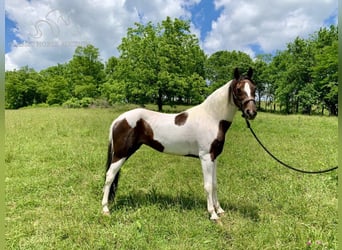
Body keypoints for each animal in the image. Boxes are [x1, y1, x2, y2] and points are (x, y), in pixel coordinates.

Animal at [101, 67, 256, 220]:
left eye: (254, 88)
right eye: (238, 89)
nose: (251, 112)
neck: (212, 117)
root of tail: (119, 119)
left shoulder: (214, 157)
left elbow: (214, 184)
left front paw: (220, 210)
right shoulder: (205, 157)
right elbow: (208, 186)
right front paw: (213, 214)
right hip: (121, 154)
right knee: (109, 176)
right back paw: (105, 209)